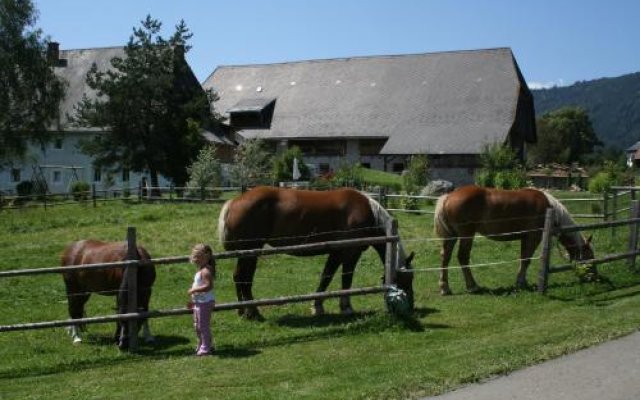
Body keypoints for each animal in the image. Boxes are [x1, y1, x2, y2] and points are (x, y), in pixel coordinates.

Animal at [216, 186, 416, 320]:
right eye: (407, 279)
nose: (411, 305)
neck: (369, 213)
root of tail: (234, 202)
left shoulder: (336, 253)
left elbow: (326, 277)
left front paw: (317, 306)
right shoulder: (350, 253)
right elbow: (346, 279)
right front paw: (346, 307)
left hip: (246, 254)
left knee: (238, 277)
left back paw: (242, 311)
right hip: (250, 253)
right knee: (244, 279)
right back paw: (252, 312)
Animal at [436, 185, 596, 294]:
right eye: (590, 256)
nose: (594, 278)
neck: (549, 208)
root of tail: (449, 196)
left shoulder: (525, 238)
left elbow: (523, 258)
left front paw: (522, 281)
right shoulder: (533, 237)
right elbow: (526, 260)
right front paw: (521, 283)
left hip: (451, 236)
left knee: (445, 257)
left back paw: (445, 288)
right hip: (467, 235)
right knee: (462, 257)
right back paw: (472, 286)